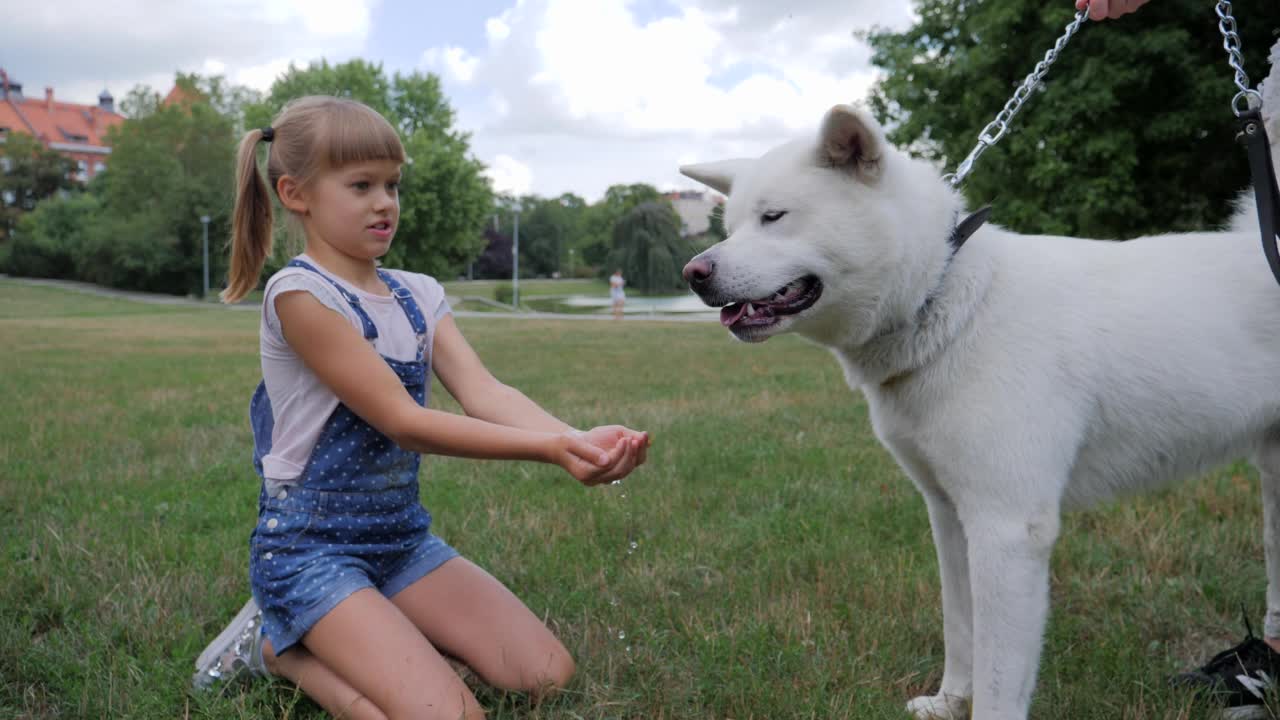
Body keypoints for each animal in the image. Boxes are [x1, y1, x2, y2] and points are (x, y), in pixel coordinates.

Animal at [686, 49, 1280, 712]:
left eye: (775, 217)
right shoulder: (949, 516)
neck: (947, 301)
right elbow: (960, 630)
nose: (693, 273)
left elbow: (999, 675)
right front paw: (948, 703)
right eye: (732, 226)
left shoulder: (1008, 528)